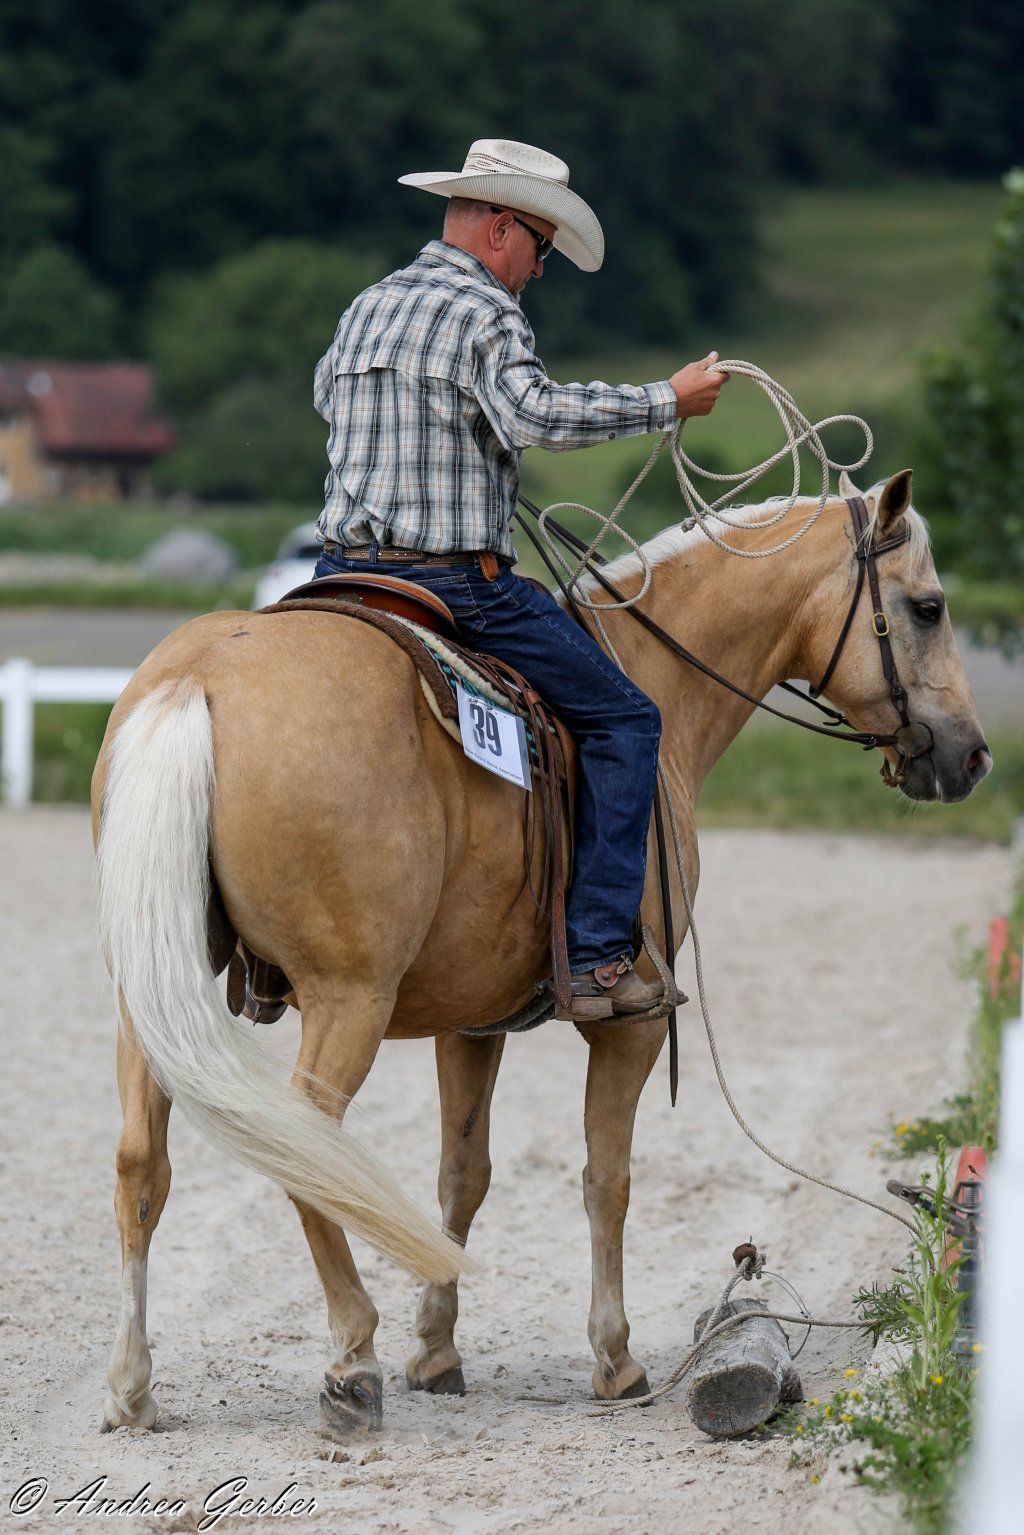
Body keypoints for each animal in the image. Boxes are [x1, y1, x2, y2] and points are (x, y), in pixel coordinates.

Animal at [92, 468, 991, 1435]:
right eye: (929, 606)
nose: (973, 756)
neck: (653, 675)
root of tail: (198, 677)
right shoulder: (633, 1024)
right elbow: (608, 1177)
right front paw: (615, 1357)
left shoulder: (469, 1020)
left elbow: (463, 1173)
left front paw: (437, 1349)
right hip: (347, 999)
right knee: (307, 1155)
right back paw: (352, 1362)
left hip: (146, 996)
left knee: (141, 1163)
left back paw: (134, 1385)